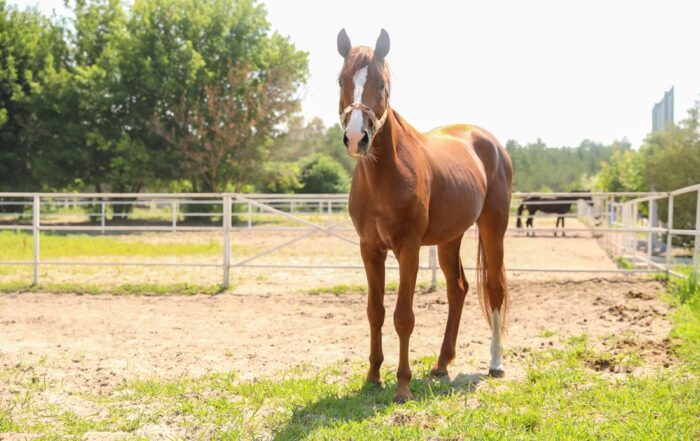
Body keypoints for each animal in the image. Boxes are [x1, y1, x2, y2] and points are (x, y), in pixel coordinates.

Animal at [337, 29, 513, 403]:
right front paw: (372, 377)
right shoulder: (369, 249)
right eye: (342, 80)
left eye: (382, 84)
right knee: (458, 289)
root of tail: (490, 142)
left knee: (494, 289)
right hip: (450, 238)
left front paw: (402, 386)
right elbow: (375, 312)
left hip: (494, 228)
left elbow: (403, 316)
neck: (384, 175)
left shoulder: (409, 249)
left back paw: (495, 363)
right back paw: (442, 364)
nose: (357, 138)